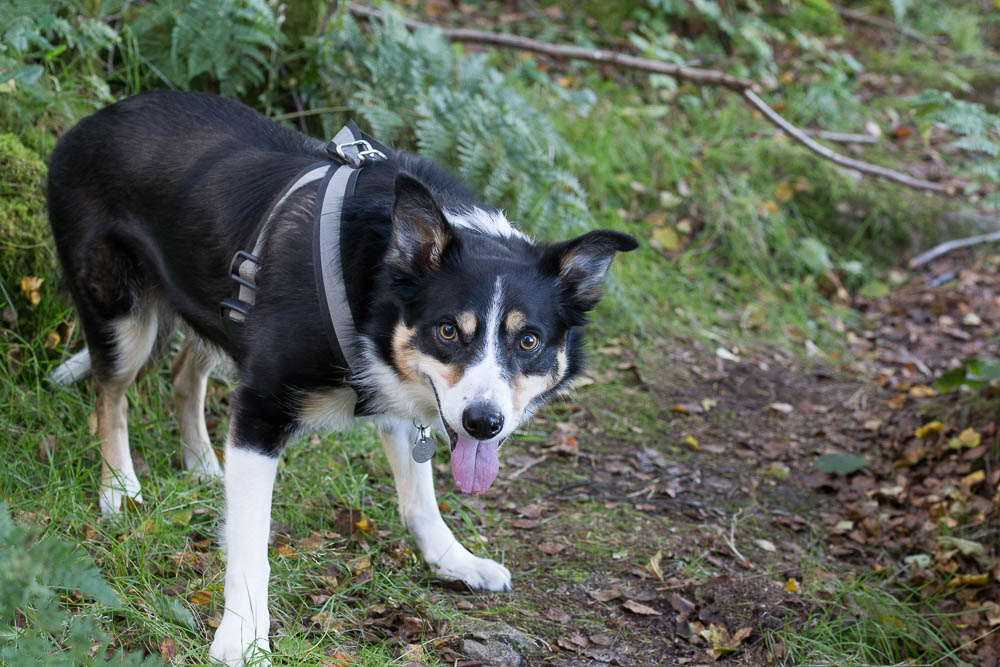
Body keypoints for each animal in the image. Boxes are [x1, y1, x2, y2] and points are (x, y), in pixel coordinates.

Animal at [47, 91, 636, 664]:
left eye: (528, 341)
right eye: (448, 331)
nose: (483, 423)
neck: (377, 281)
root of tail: (88, 122)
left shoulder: (399, 399)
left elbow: (421, 501)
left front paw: (455, 561)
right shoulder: (262, 406)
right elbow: (251, 544)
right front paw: (242, 636)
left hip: (221, 311)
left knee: (183, 374)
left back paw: (205, 466)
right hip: (121, 313)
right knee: (112, 394)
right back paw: (120, 488)